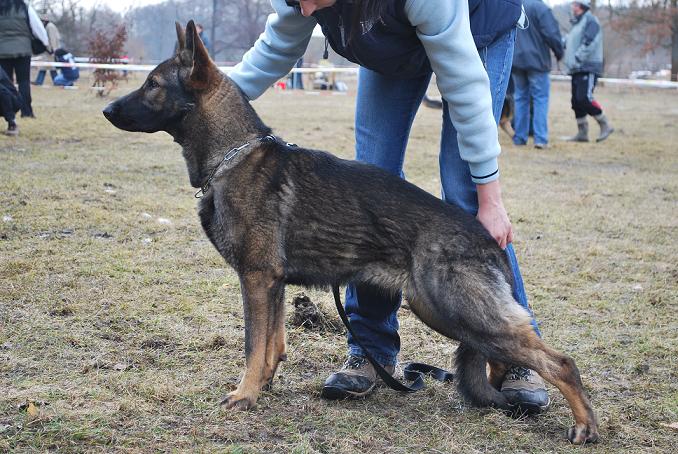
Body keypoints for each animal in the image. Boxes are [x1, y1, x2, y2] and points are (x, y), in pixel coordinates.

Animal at [103, 21, 598, 444]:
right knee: (501, 355)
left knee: (559, 362)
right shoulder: (273, 285)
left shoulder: (257, 280)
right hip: (445, 312)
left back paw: (584, 425)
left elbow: (252, 345)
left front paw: (244, 395)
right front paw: (263, 386)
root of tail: (485, 237)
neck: (232, 153)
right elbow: (272, 345)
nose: (106, 108)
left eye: (153, 84)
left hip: (454, 310)